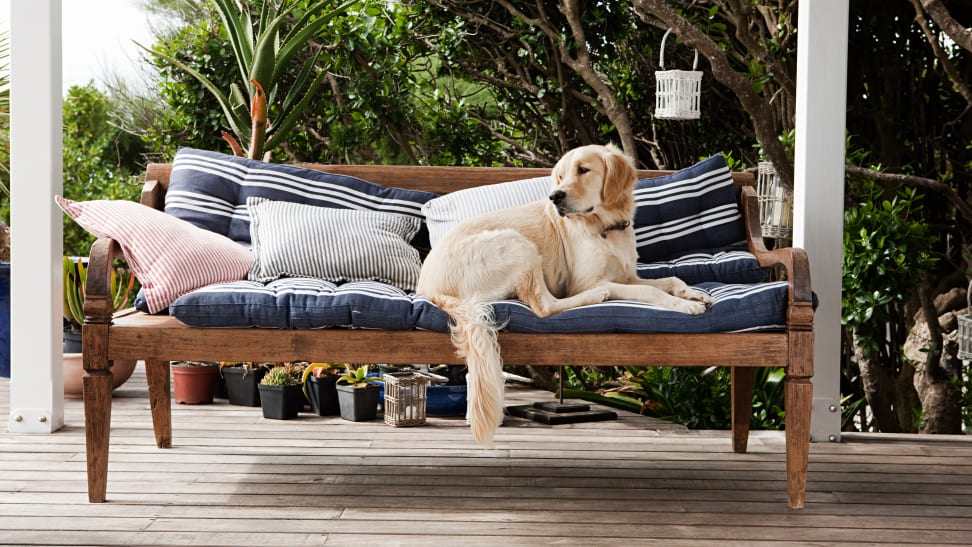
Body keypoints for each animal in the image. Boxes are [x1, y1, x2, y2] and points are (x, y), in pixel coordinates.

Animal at [418, 144, 712, 446]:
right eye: (560, 176)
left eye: (583, 170)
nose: (555, 196)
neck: (605, 225)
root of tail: (427, 286)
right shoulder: (586, 282)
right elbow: (648, 289)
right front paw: (683, 305)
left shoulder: (628, 275)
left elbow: (670, 279)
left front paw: (694, 293)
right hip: (517, 243)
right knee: (544, 306)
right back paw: (598, 296)